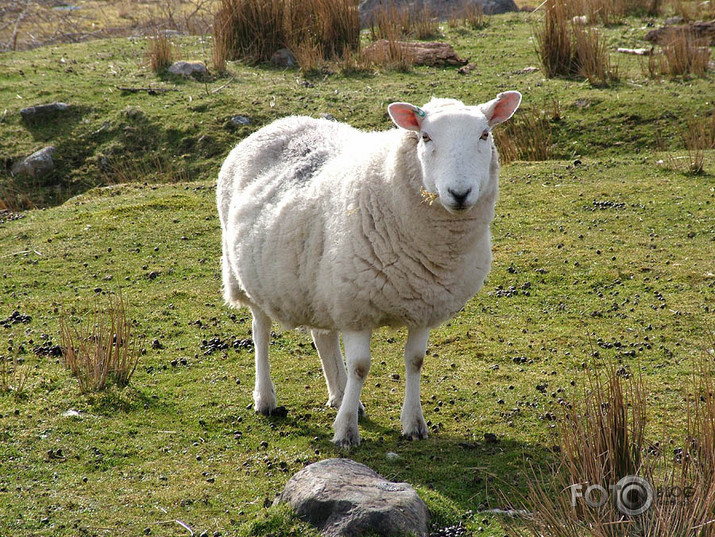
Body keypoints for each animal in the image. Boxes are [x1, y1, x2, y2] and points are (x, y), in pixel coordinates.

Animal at [215, 92, 524, 448]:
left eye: (484, 135)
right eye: (425, 137)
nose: (459, 194)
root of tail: (283, 121)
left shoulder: (423, 304)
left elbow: (415, 361)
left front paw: (413, 423)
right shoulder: (356, 305)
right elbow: (361, 368)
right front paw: (346, 430)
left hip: (321, 282)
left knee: (322, 335)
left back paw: (338, 394)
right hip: (249, 277)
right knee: (261, 332)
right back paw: (266, 399)